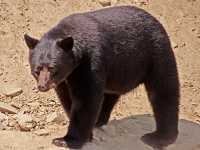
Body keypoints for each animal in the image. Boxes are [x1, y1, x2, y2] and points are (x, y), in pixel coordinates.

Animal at [24, 5, 180, 149]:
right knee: (111, 95)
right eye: (37, 70)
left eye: (52, 68)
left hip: (156, 54)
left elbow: (85, 98)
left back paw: (159, 137)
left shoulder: (89, 63)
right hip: (118, 72)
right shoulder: (65, 78)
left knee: (164, 92)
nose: (42, 86)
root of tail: (156, 21)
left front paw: (66, 140)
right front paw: (85, 134)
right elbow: (66, 98)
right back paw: (99, 120)